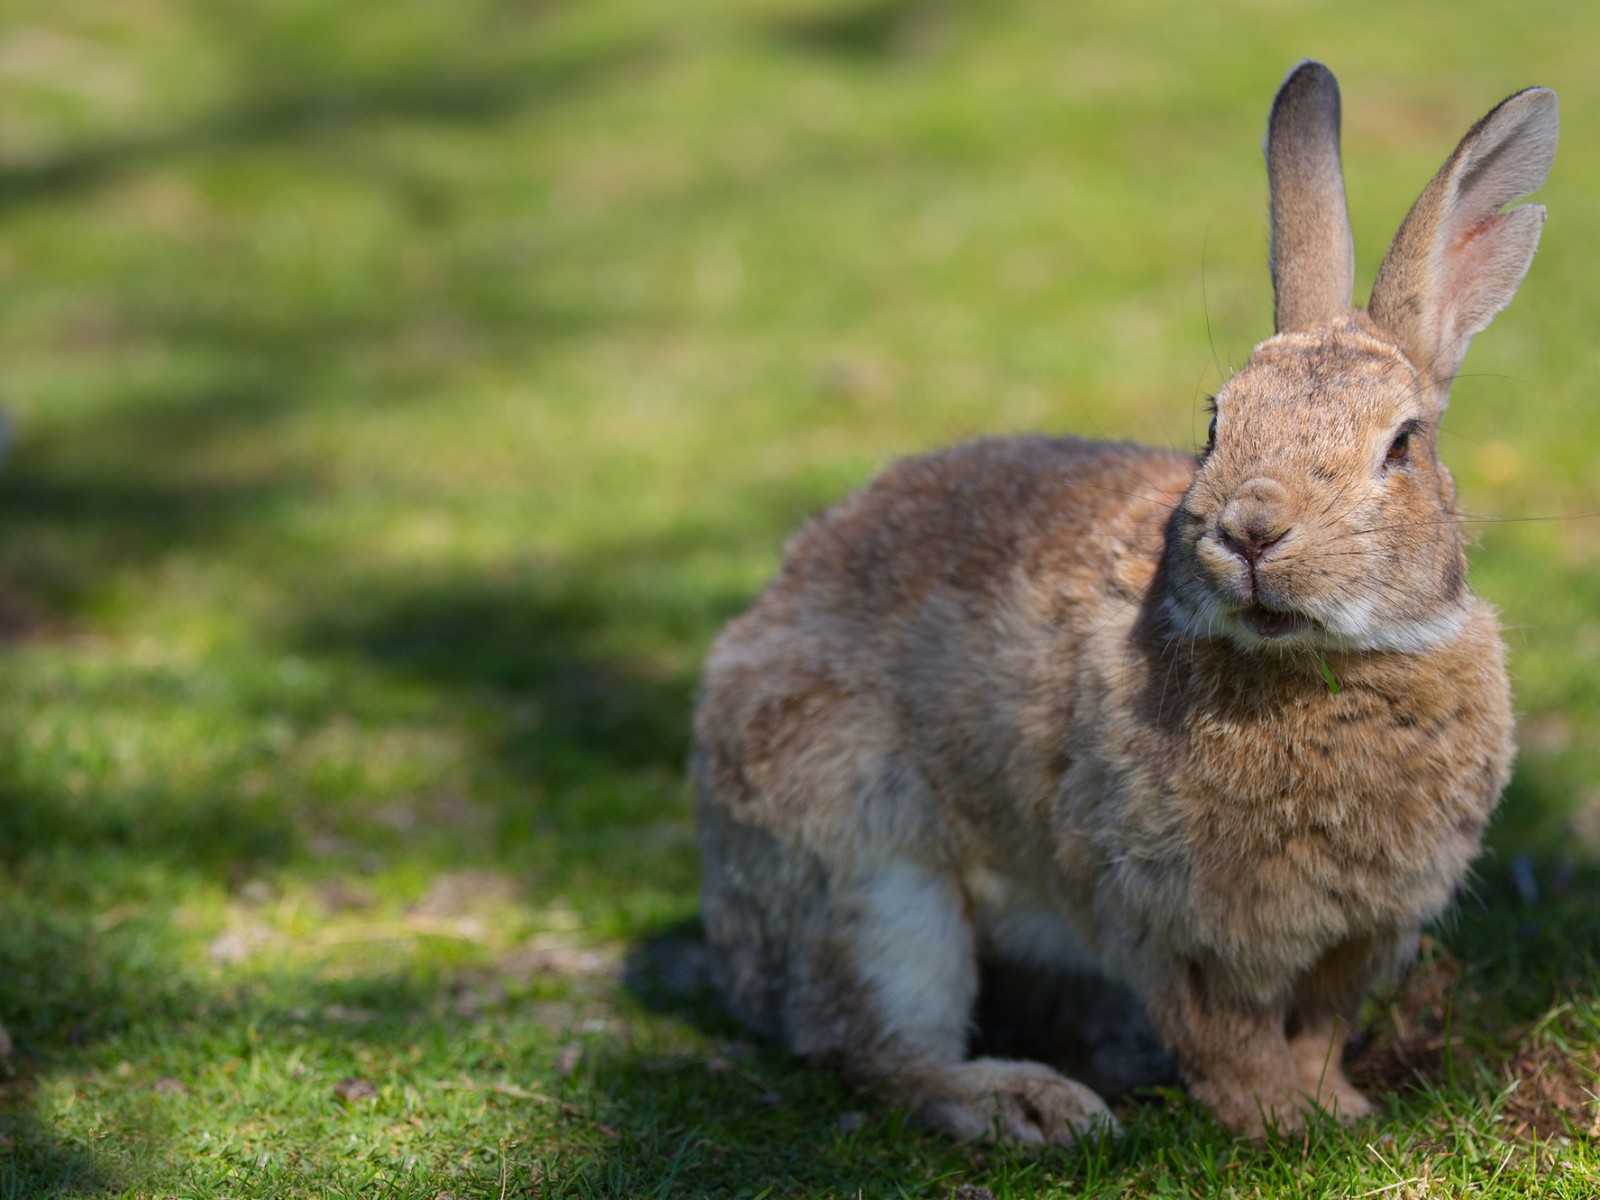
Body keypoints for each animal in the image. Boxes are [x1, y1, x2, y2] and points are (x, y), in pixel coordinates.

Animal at [688, 63, 1548, 1145]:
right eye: (1216, 421)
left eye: (1401, 446)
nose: (1252, 531)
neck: (1316, 670)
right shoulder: (1170, 923)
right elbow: (1230, 1037)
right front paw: (1278, 1123)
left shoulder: (1355, 939)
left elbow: (1315, 1029)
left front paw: (1338, 1110)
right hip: (871, 870)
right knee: (875, 1044)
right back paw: (1031, 1106)